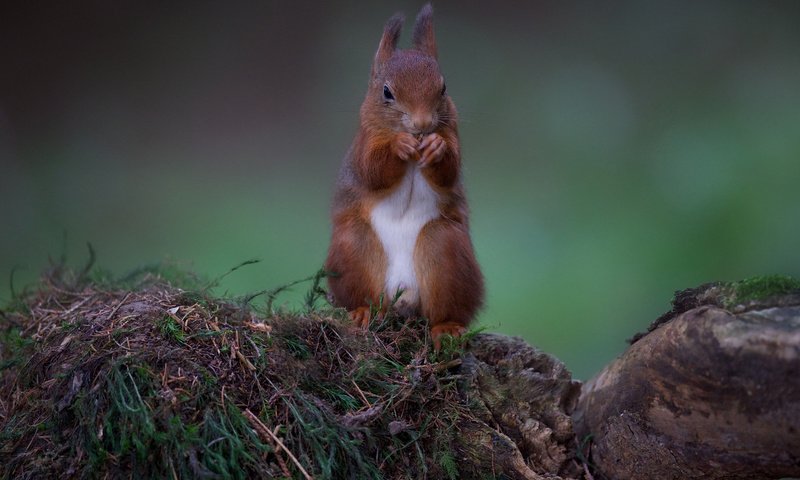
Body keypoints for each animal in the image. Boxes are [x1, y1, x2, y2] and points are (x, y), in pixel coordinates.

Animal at [324, 3, 484, 348]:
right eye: (387, 92)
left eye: (443, 87)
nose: (422, 124)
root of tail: (403, 295)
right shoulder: (364, 143)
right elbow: (373, 171)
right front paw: (400, 145)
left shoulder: (453, 134)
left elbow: (449, 172)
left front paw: (436, 147)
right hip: (354, 248)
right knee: (364, 294)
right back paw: (362, 312)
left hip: (446, 250)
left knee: (443, 308)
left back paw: (446, 327)